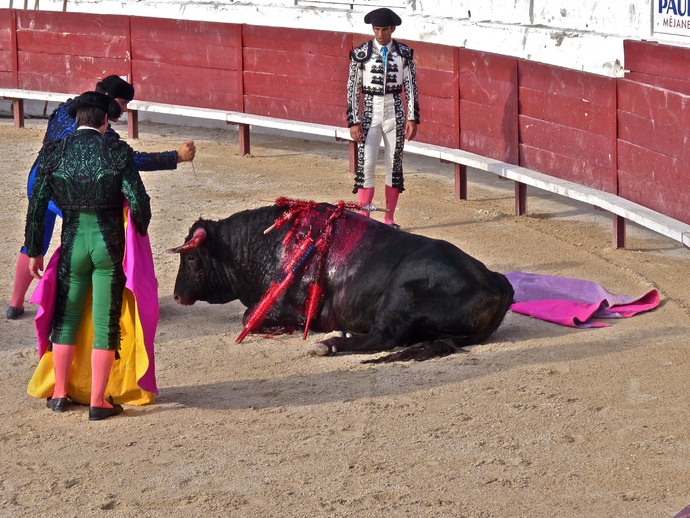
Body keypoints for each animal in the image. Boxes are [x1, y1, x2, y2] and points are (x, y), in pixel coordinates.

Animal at [170, 201, 514, 363]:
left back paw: (329, 344)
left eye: (191, 259)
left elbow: (247, 316)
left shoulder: (284, 307)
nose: (175, 295)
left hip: (400, 297)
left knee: (385, 336)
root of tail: (496, 279)